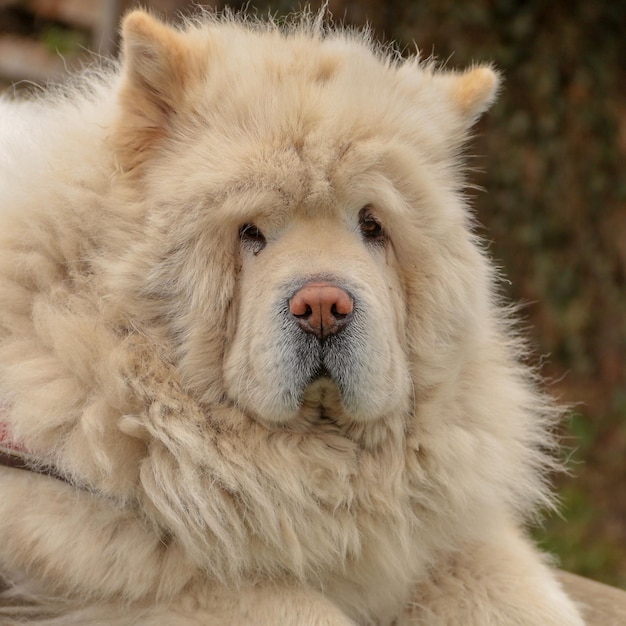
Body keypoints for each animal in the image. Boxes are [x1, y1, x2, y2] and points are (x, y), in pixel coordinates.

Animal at [0, 9, 584, 624]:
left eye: (372, 225)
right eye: (250, 230)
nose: (324, 307)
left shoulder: (445, 535)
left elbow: (522, 590)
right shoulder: (127, 561)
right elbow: (295, 604)